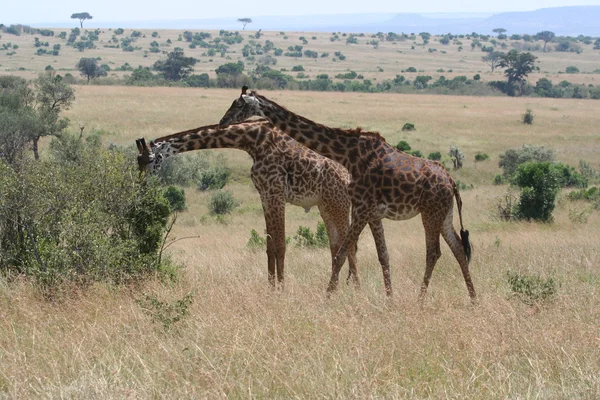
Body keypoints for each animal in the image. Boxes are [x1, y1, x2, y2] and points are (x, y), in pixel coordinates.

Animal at [136, 118, 358, 288]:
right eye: (137, 161)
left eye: (149, 160)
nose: (141, 187)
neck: (252, 141)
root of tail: (349, 175)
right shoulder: (265, 195)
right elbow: (269, 247)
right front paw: (271, 288)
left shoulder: (276, 193)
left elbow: (280, 246)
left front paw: (282, 289)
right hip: (326, 205)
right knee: (336, 245)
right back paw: (338, 286)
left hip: (338, 203)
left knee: (349, 245)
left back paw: (353, 287)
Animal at [218, 87, 476, 300]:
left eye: (238, 105)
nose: (222, 122)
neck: (348, 154)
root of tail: (452, 182)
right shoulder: (371, 211)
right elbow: (381, 255)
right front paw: (388, 299)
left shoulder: (362, 207)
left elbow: (342, 253)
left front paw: (327, 297)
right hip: (444, 214)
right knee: (458, 249)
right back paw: (473, 299)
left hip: (430, 213)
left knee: (434, 253)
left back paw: (420, 300)